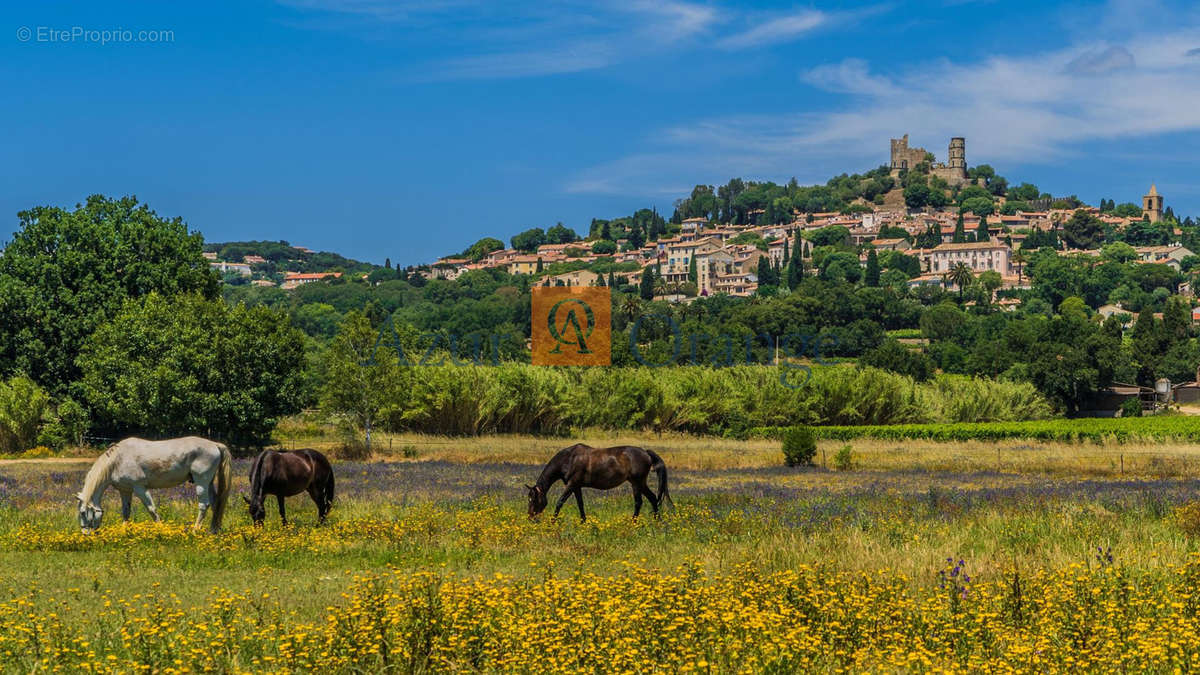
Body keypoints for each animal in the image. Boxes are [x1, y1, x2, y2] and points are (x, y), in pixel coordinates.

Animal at [77, 437, 234, 530]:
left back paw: (195, 530)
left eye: (83, 512)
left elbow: (152, 509)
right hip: (209, 484)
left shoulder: (140, 488)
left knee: (204, 505)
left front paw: (161, 530)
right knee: (215, 503)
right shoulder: (125, 491)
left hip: (201, 482)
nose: (85, 534)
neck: (117, 460)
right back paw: (213, 530)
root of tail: (215, 444)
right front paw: (124, 532)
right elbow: (126, 512)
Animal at [528, 441, 672, 521]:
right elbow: (580, 504)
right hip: (639, 483)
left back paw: (636, 522)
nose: (530, 517)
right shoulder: (577, 486)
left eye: (532, 499)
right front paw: (583, 522)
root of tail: (646, 453)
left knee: (640, 502)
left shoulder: (571, 484)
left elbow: (560, 502)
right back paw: (656, 520)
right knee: (651, 498)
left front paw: (552, 521)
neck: (569, 459)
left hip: (637, 483)